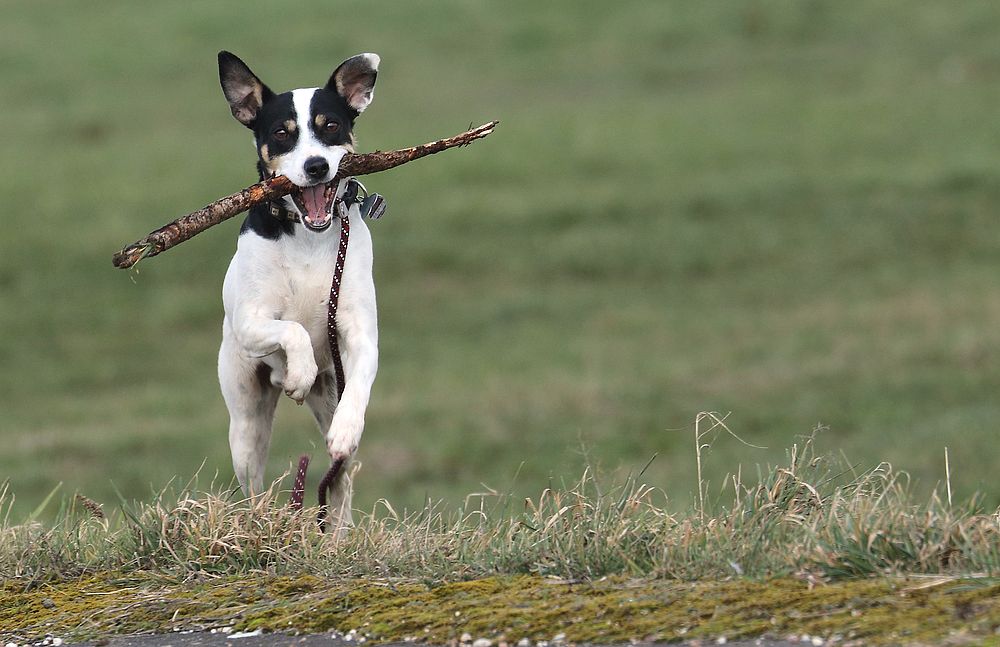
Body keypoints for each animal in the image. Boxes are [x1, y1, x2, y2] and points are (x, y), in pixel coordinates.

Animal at [217, 52, 380, 532]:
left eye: (331, 126)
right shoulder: (252, 322)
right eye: (281, 133)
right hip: (245, 419)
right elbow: (294, 330)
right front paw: (299, 372)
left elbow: (361, 378)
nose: (316, 167)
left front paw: (347, 427)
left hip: (329, 397)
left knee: (340, 482)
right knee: (252, 481)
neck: (308, 237)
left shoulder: (360, 331)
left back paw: (338, 533)